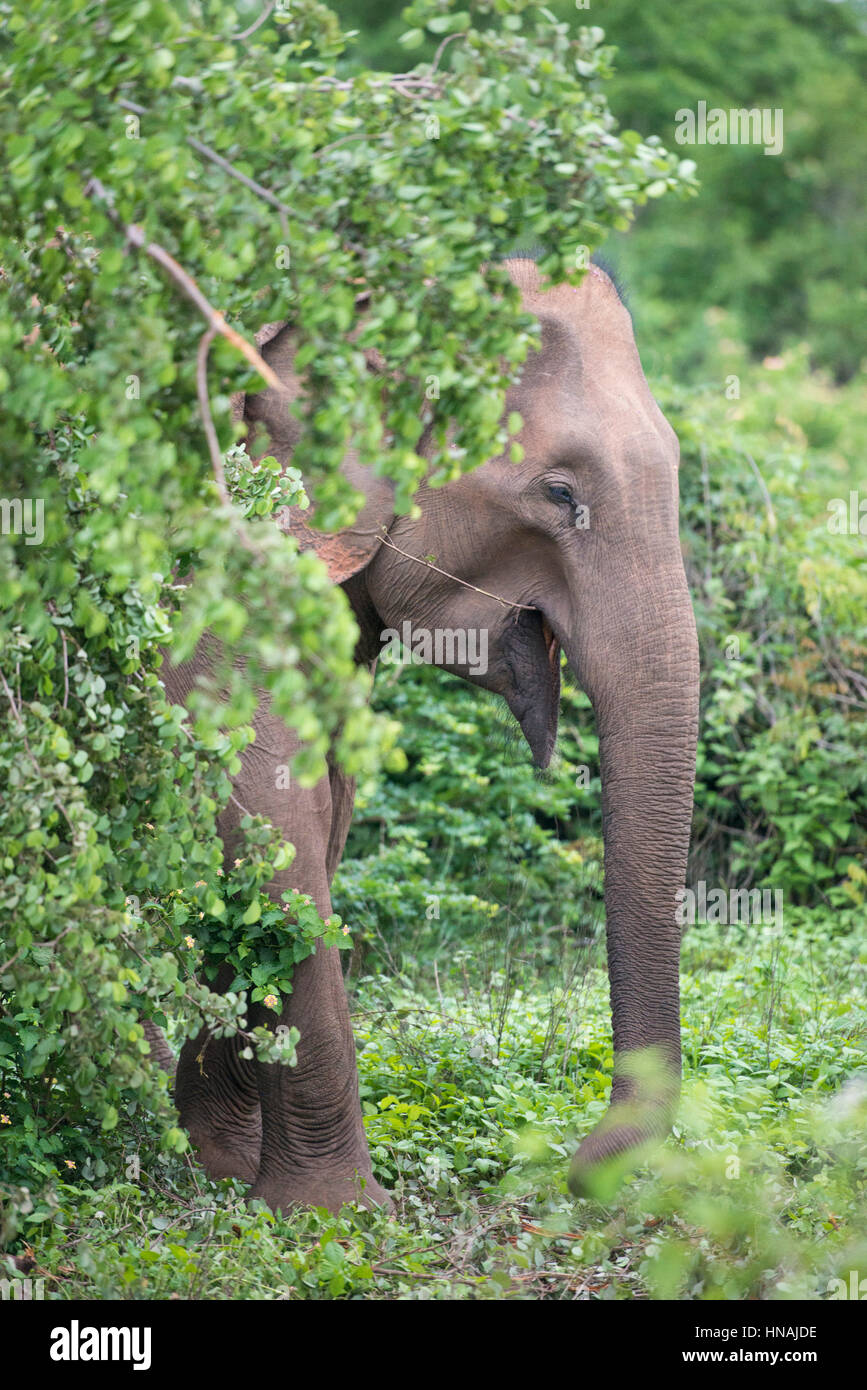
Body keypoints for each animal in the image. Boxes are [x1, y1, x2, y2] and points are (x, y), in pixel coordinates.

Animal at [159, 261, 700, 1217]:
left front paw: (218, 1164)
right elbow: (261, 801)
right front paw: (334, 1214)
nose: (580, 1168)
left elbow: (319, 808)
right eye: (559, 493)